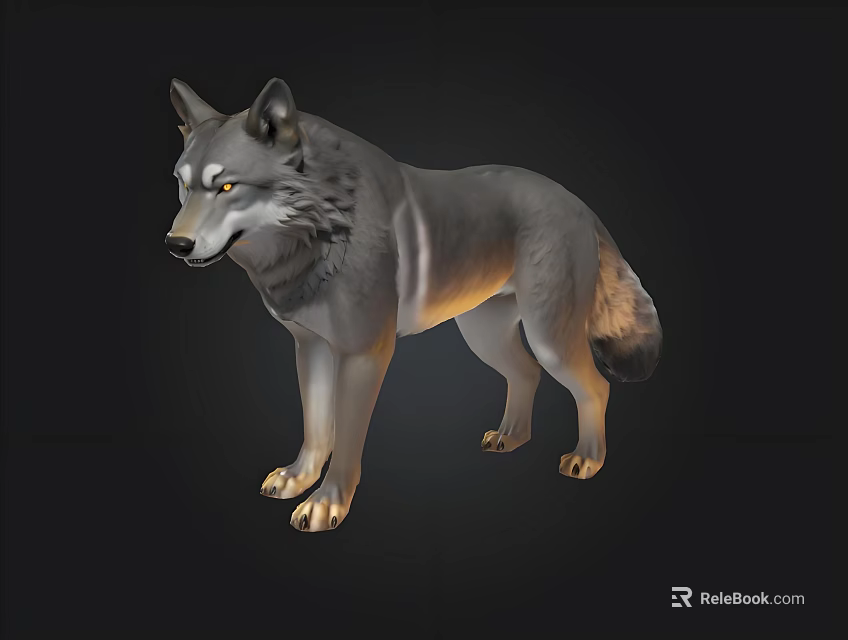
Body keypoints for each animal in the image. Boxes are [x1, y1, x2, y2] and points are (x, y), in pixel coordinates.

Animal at [165, 77, 662, 532]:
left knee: (596, 388)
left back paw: (586, 459)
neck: (323, 225)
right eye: (183, 186)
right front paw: (298, 478)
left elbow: (345, 439)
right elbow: (316, 429)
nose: (175, 244)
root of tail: (578, 202)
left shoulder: (364, 354)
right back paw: (511, 437)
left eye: (226, 186)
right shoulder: (311, 348)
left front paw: (327, 503)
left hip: (548, 339)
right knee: (527, 373)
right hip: (484, 336)